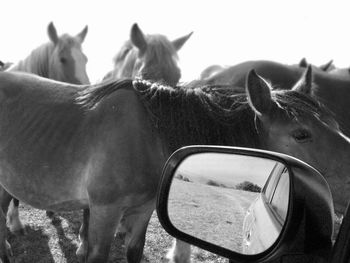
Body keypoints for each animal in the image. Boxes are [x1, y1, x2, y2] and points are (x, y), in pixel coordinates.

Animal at [0, 65, 350, 262]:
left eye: (336, 123)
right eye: (301, 134)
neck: (151, 135)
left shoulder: (142, 209)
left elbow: (134, 251)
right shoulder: (104, 210)